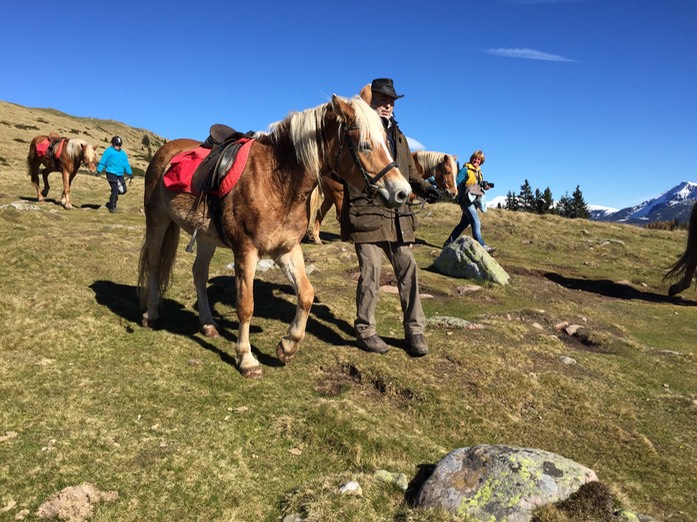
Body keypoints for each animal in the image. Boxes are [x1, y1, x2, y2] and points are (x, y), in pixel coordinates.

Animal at [137, 94, 410, 378]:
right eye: (365, 145)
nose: (403, 192)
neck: (277, 183)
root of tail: (167, 150)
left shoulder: (287, 249)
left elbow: (306, 294)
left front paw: (288, 346)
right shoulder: (246, 252)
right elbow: (246, 305)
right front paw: (246, 359)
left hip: (205, 237)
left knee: (199, 274)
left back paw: (208, 323)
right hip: (157, 221)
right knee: (154, 263)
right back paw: (151, 314)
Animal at [304, 147, 456, 243]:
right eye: (448, 172)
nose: (454, 193)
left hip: (330, 196)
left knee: (320, 212)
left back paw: (317, 239)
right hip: (338, 195)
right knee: (338, 215)